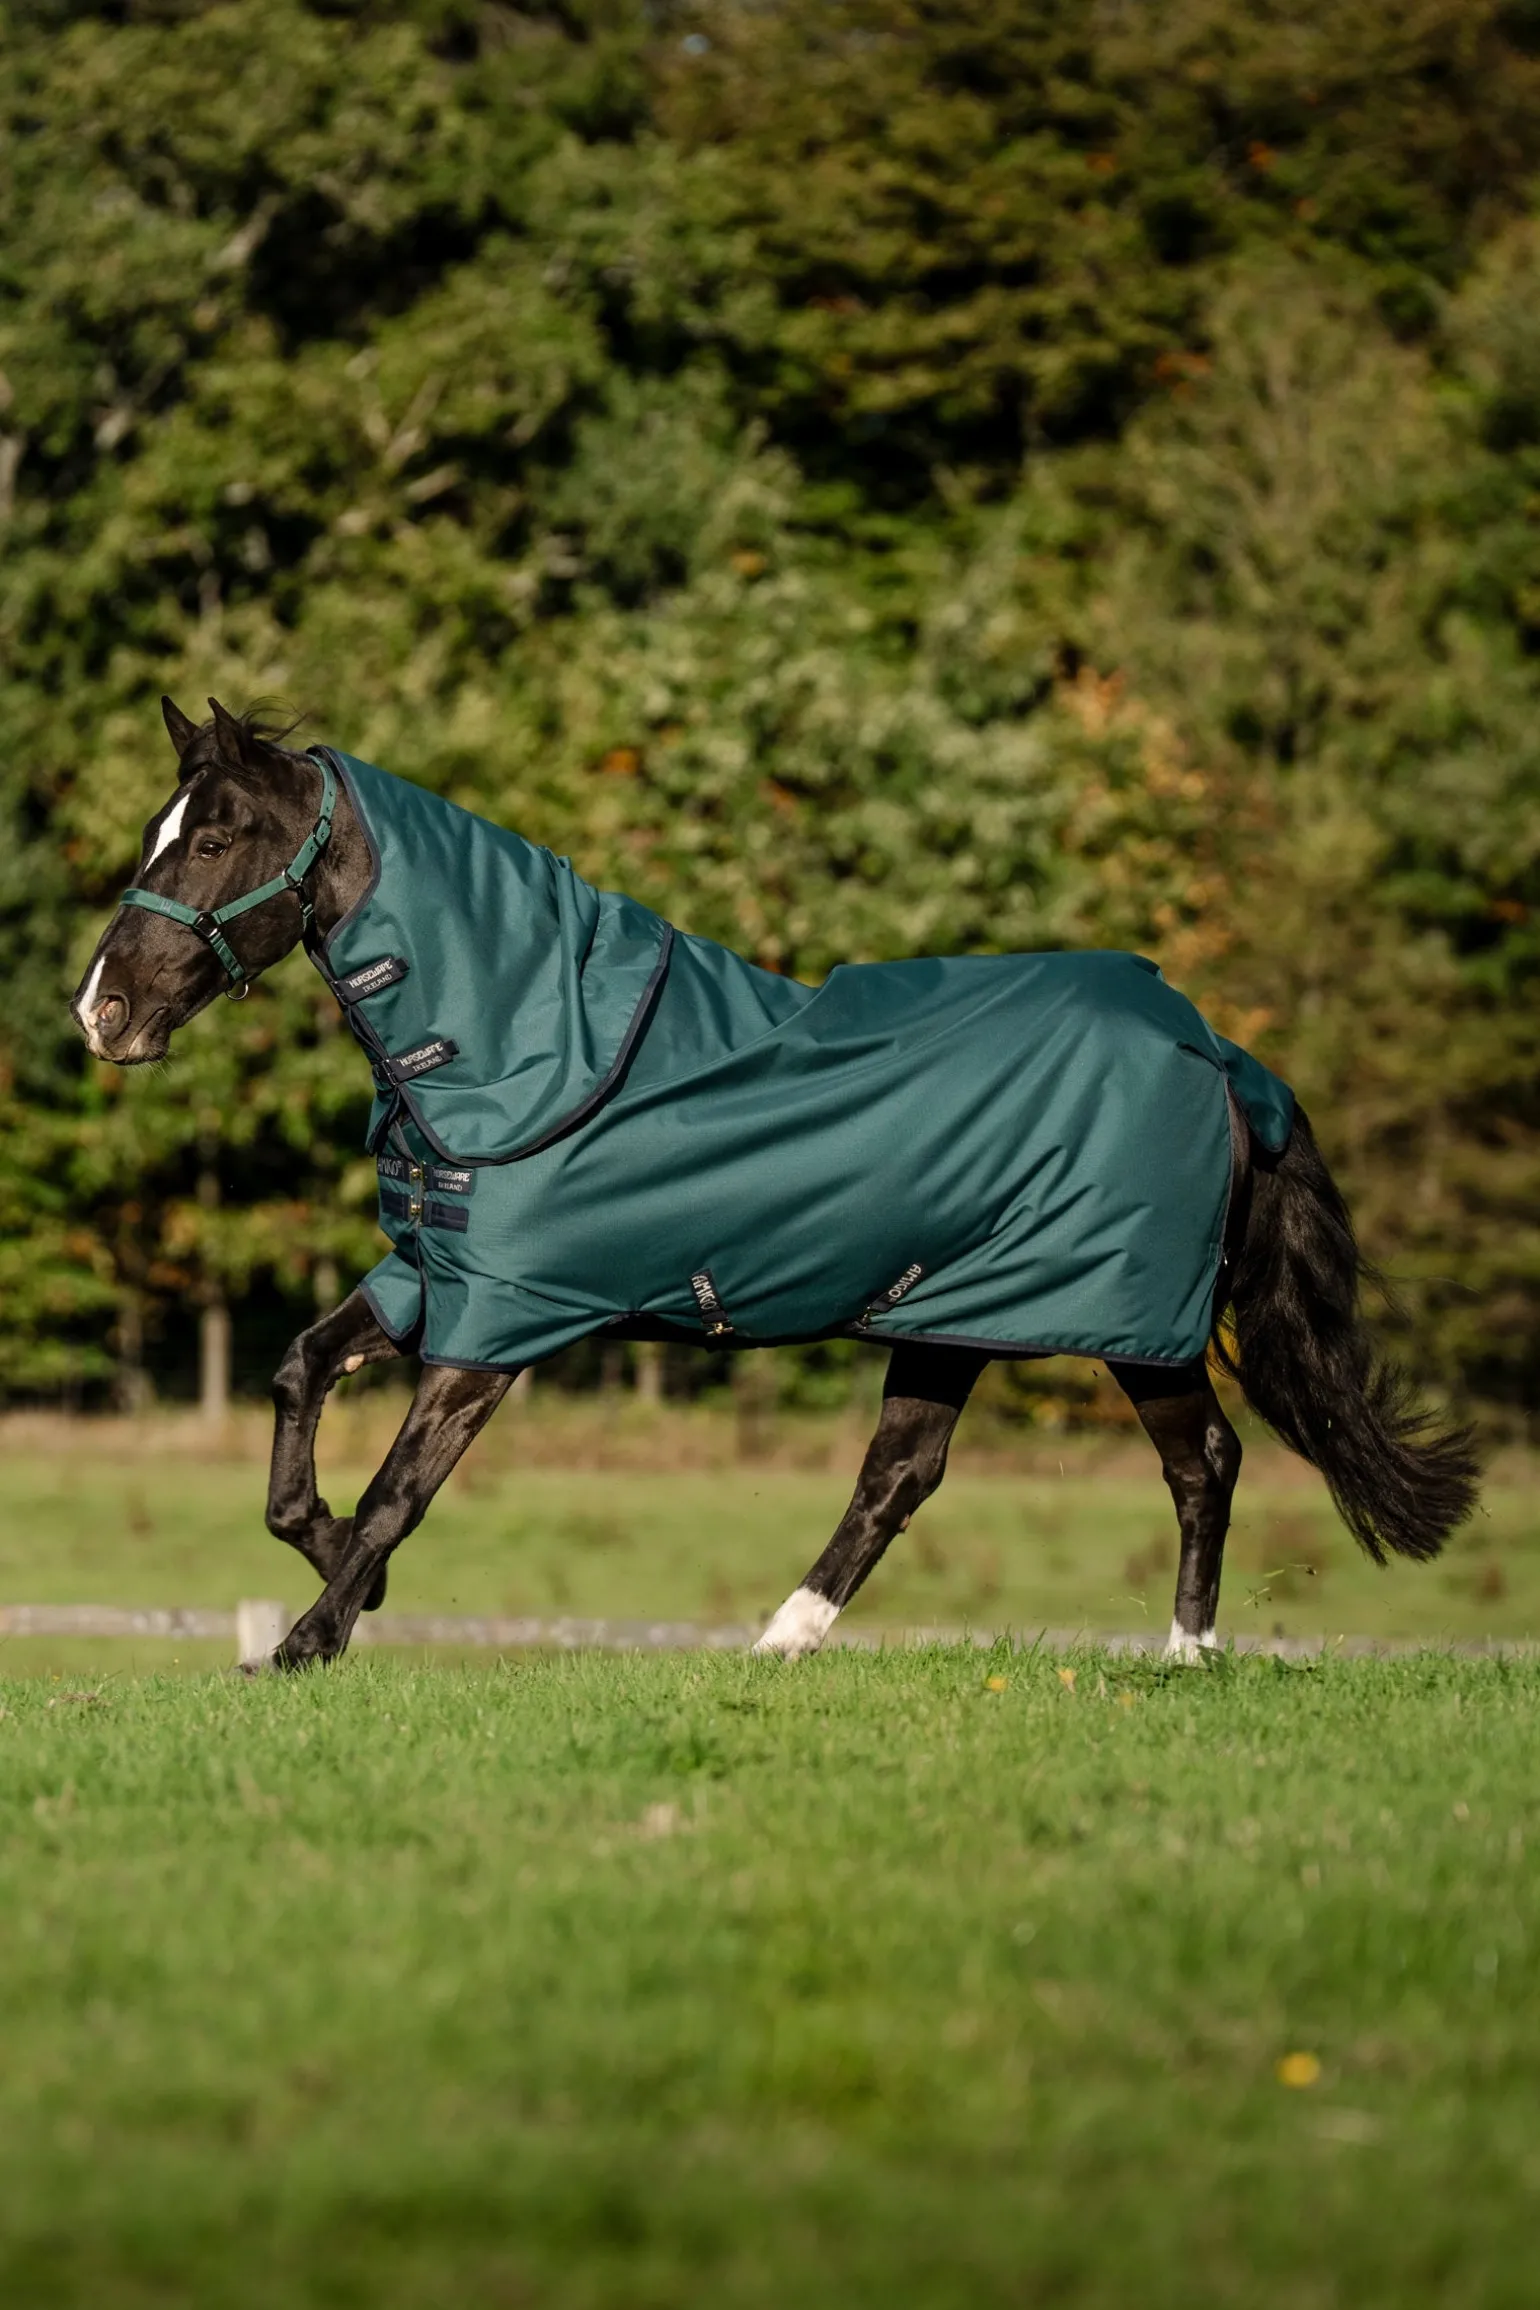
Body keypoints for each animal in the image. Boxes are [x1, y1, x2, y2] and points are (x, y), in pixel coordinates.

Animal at [70, 698, 1479, 1671]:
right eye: (160, 832)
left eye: (213, 837)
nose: (103, 1012)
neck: (526, 1041)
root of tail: (1217, 1051)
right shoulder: (432, 1277)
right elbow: (296, 1380)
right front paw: (324, 1568)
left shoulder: (499, 1325)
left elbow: (396, 1494)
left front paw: (308, 1639)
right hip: (951, 1314)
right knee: (899, 1476)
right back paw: (780, 1643)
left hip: (1130, 1321)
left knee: (1206, 1463)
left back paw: (1185, 1656)